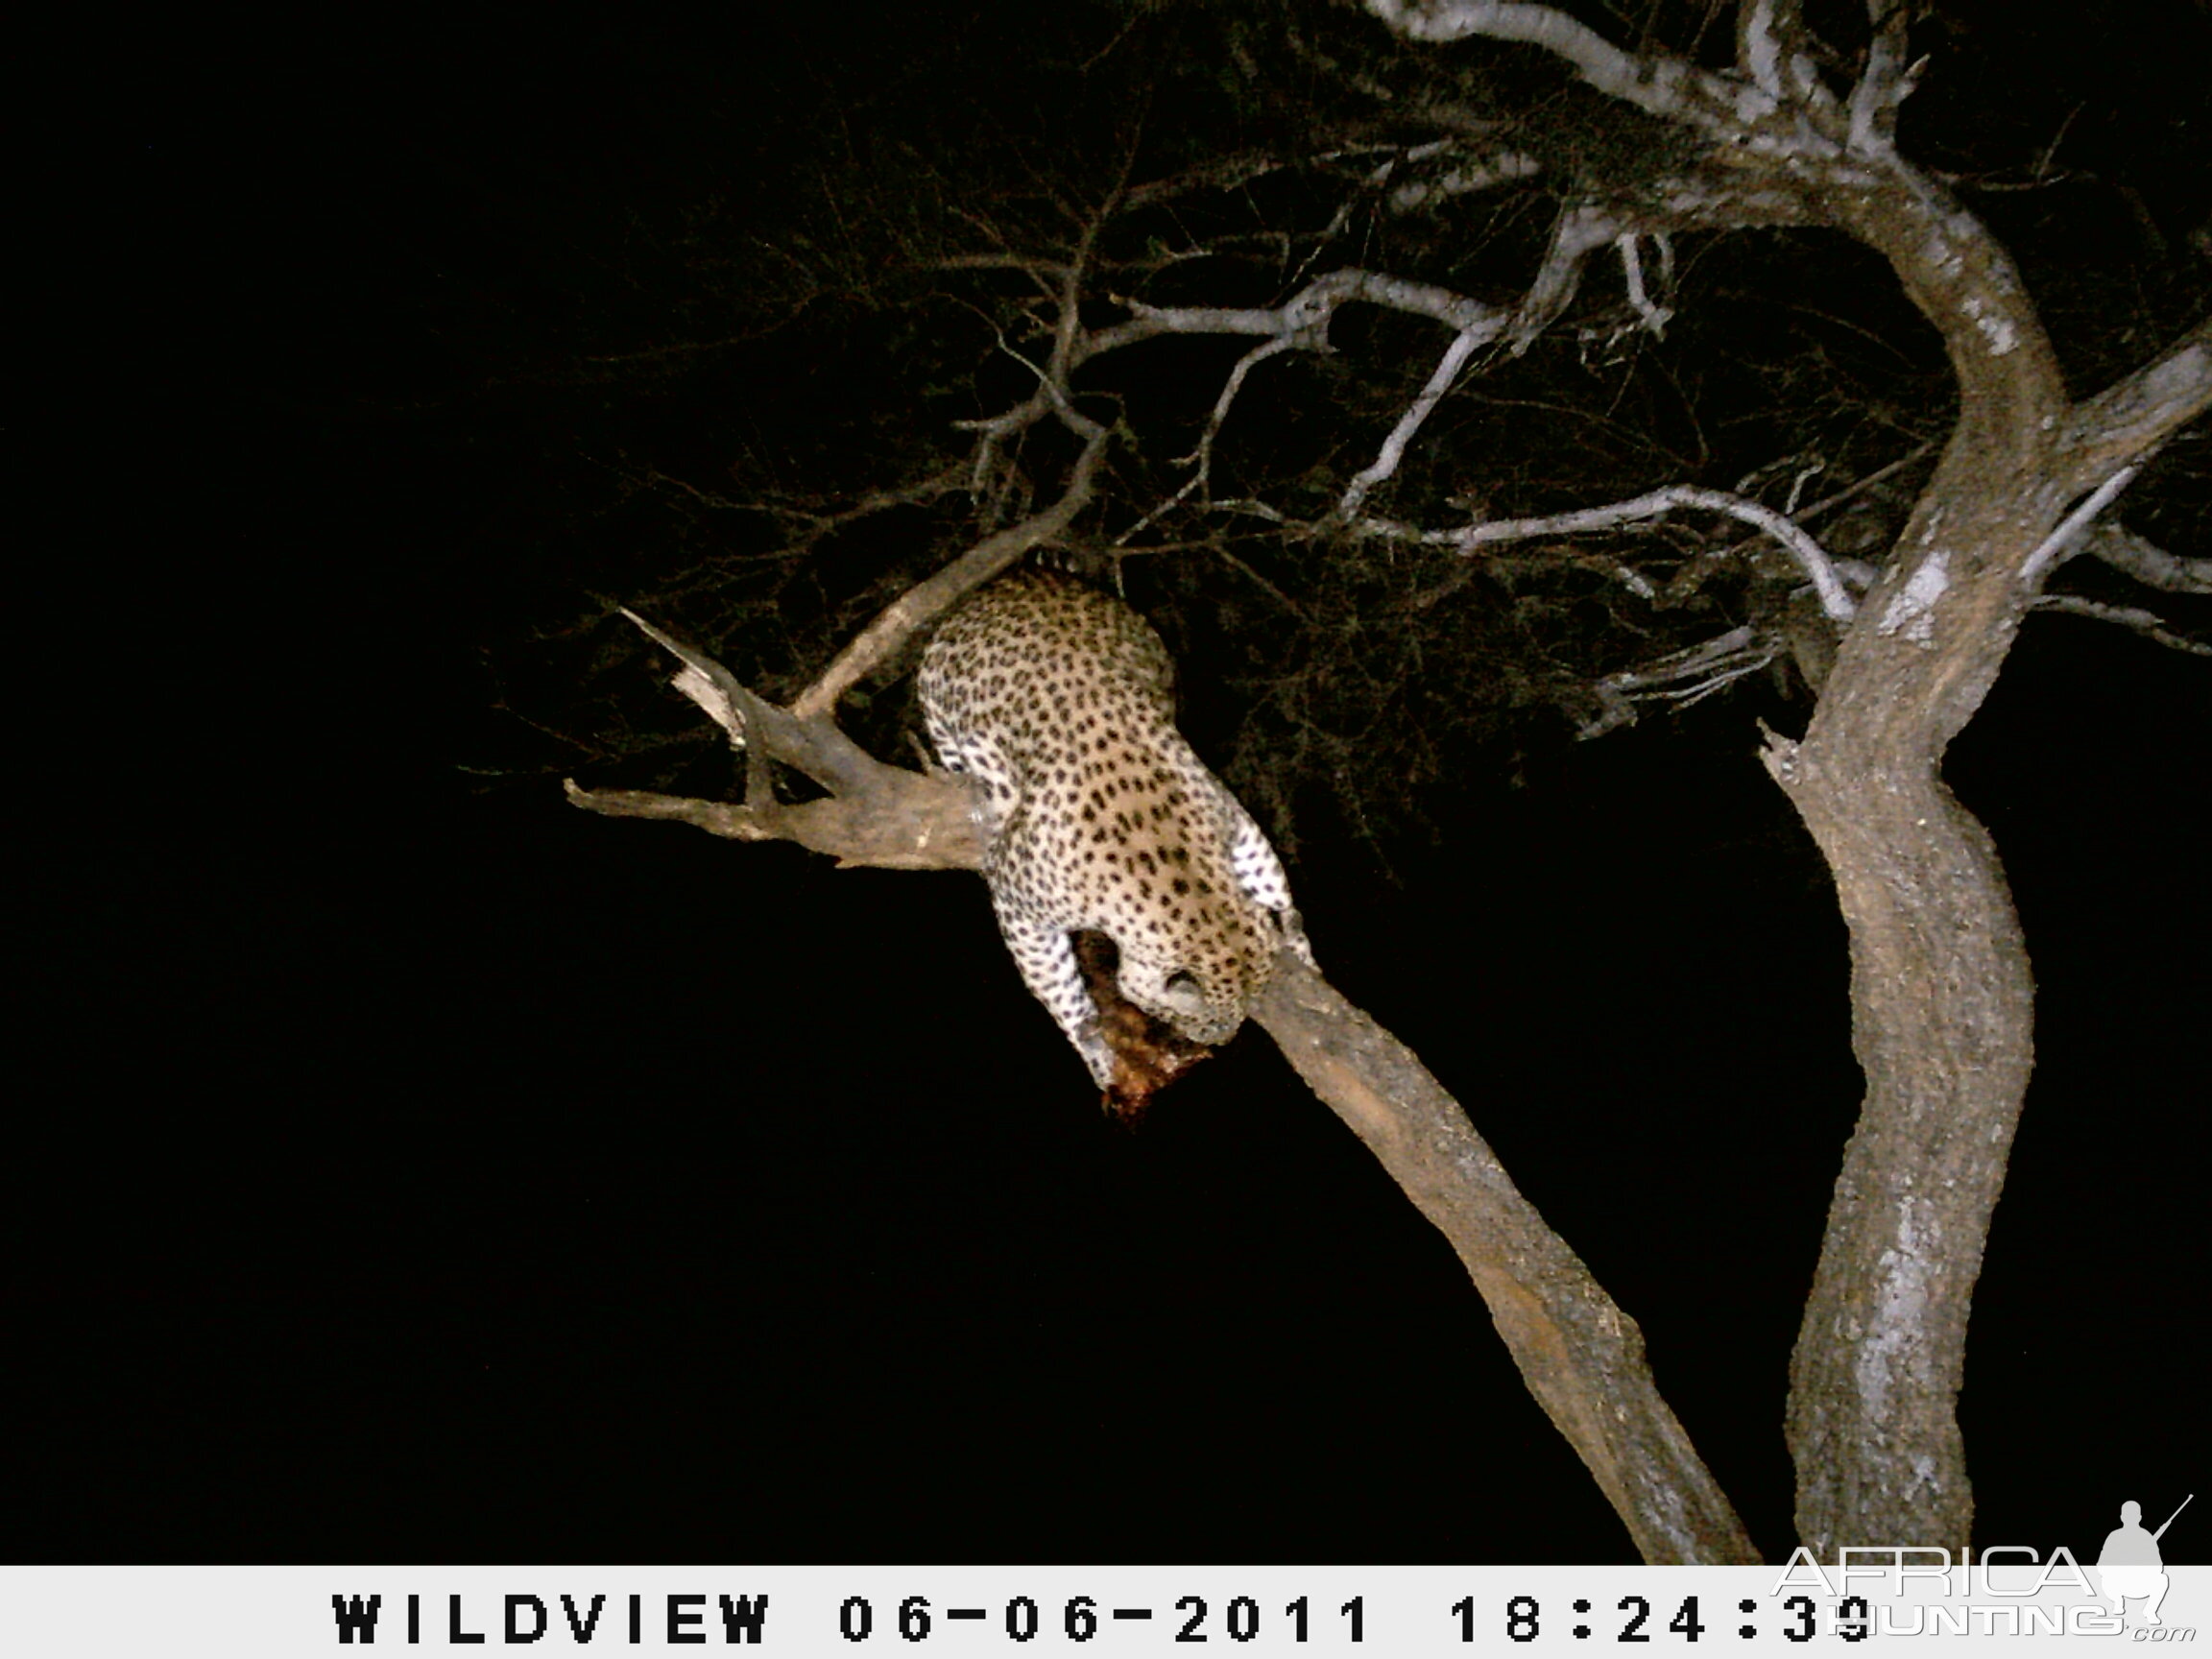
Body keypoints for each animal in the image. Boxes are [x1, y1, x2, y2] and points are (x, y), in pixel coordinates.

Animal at [920, 565, 1309, 1110]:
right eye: (1208, 1020)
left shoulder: (1228, 815)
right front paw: (1095, 1052)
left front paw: (1300, 944)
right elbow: (1058, 989)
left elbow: (1268, 872)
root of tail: (1025, 574)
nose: (1220, 1041)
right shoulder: (1022, 912)